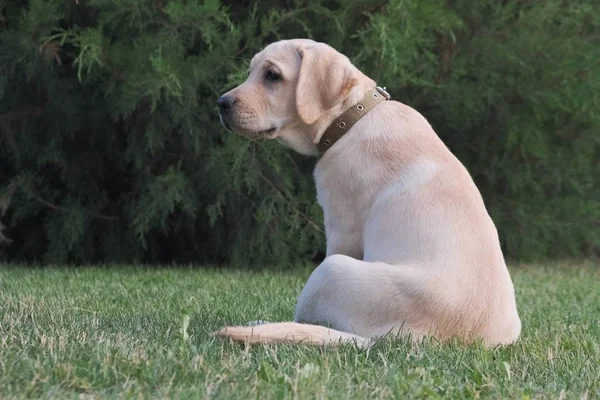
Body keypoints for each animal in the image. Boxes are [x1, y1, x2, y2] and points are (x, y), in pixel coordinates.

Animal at [214, 39, 520, 348]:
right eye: (251, 72)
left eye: (272, 76)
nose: (221, 104)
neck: (351, 118)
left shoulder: (341, 228)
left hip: (330, 271)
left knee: (307, 320)